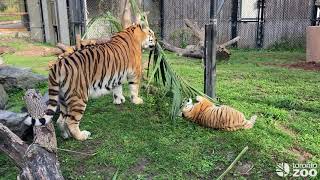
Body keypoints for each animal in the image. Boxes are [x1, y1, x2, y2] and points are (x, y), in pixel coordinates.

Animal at [23, 23, 156, 141]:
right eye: (152, 33)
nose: (156, 40)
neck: (133, 32)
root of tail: (56, 66)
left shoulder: (117, 73)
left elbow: (117, 87)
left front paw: (119, 100)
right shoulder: (135, 72)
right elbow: (134, 88)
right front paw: (137, 100)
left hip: (63, 98)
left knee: (60, 120)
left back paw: (66, 136)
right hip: (79, 97)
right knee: (71, 121)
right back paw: (82, 136)